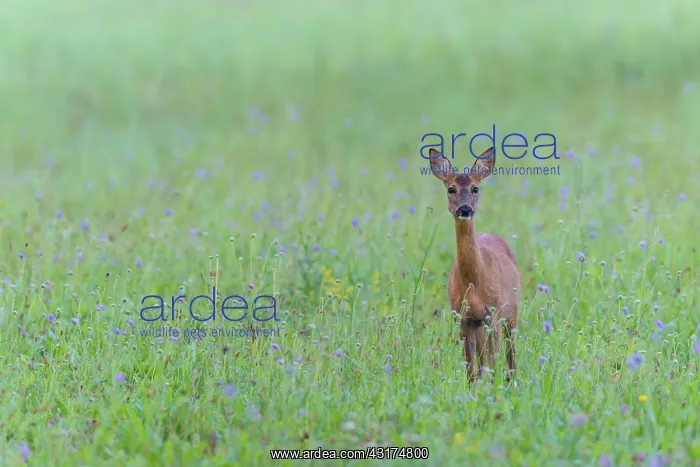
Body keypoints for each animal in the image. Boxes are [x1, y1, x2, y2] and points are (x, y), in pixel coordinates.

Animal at [428, 146, 520, 383]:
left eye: (475, 188)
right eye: (451, 189)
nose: (465, 209)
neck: (474, 283)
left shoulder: (493, 313)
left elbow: (490, 362)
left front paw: (491, 387)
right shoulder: (462, 317)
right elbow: (470, 368)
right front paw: (473, 389)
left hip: (512, 310)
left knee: (509, 353)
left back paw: (512, 381)